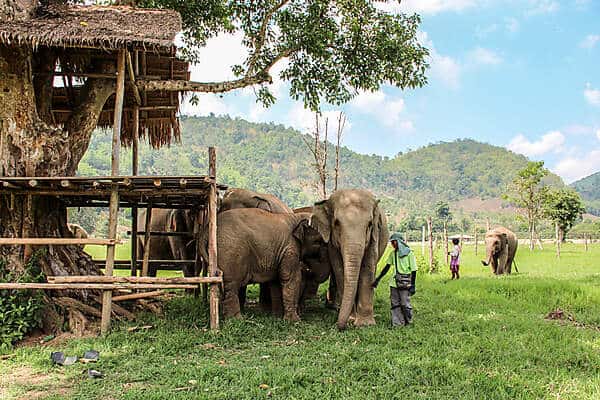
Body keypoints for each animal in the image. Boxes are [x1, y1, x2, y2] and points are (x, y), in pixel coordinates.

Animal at [310, 189, 390, 330]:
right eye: (336, 223)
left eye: (370, 224)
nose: (340, 326)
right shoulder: (331, 243)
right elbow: (339, 269)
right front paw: (351, 319)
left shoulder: (374, 237)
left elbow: (367, 268)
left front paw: (365, 324)